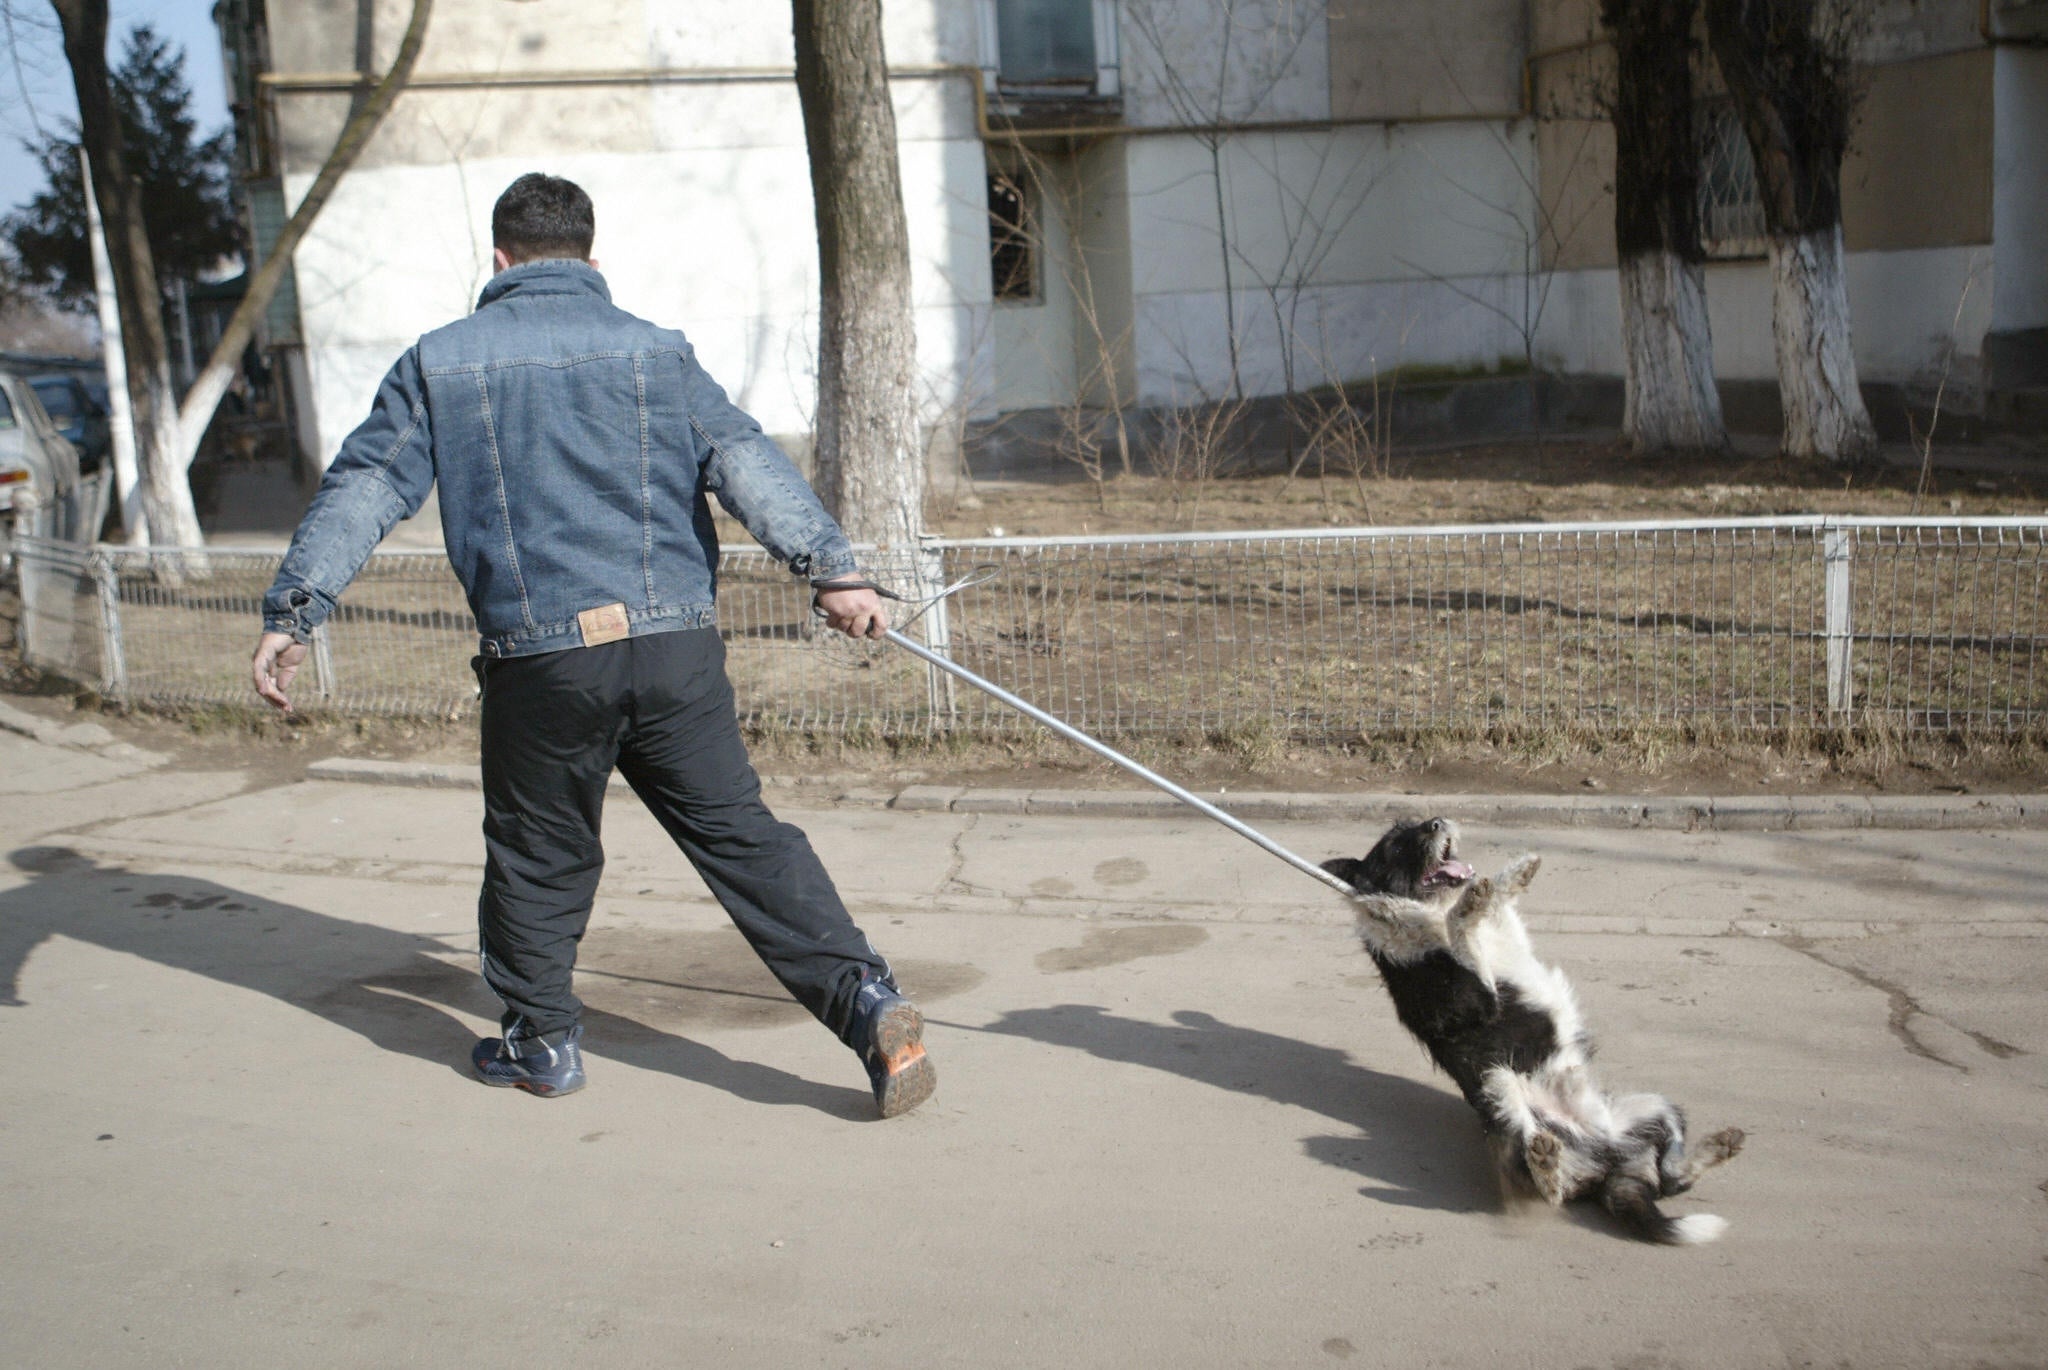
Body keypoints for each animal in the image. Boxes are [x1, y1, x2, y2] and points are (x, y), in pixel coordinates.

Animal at [1327, 819, 1744, 1245]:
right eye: (1396, 846)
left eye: (1413, 824)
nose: (1438, 822)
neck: (1430, 907)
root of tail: (1606, 1168)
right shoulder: (1471, 1002)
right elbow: (1463, 930)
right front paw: (1471, 904)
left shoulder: (1501, 938)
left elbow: (1494, 911)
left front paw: (1514, 874)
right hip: (1500, 1084)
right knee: (1546, 1186)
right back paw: (1545, 1164)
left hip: (1655, 1107)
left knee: (1672, 1179)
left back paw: (1718, 1147)